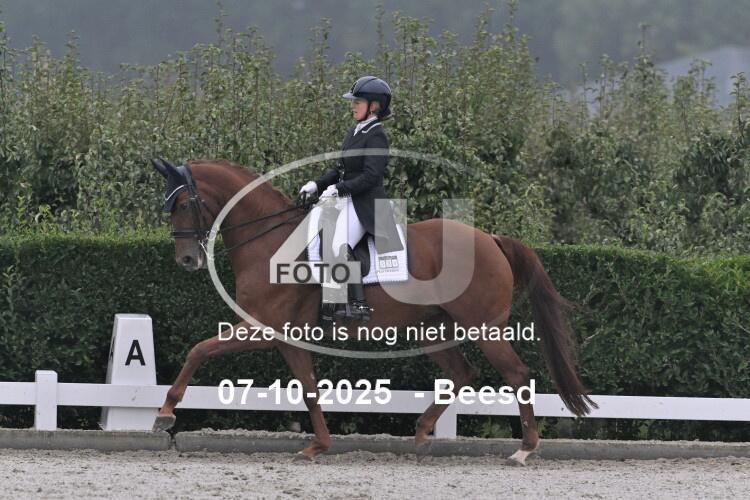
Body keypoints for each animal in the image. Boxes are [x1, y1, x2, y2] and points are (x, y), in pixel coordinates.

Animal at [150, 157, 597, 465]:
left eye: (185, 203)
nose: (187, 260)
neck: (270, 240)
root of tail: (489, 238)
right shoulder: (287, 338)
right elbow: (309, 388)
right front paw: (318, 445)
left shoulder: (260, 328)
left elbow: (199, 350)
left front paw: (165, 413)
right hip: (434, 329)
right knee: (462, 373)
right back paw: (422, 432)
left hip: (484, 328)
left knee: (517, 375)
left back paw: (524, 449)